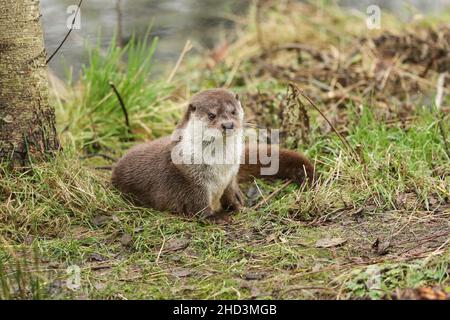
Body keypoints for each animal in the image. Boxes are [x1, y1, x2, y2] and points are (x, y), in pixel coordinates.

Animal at [111, 88, 314, 218]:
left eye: (233, 111)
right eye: (211, 115)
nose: (228, 124)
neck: (220, 166)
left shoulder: (230, 176)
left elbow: (230, 195)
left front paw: (240, 207)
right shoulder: (191, 182)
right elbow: (199, 208)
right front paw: (218, 217)